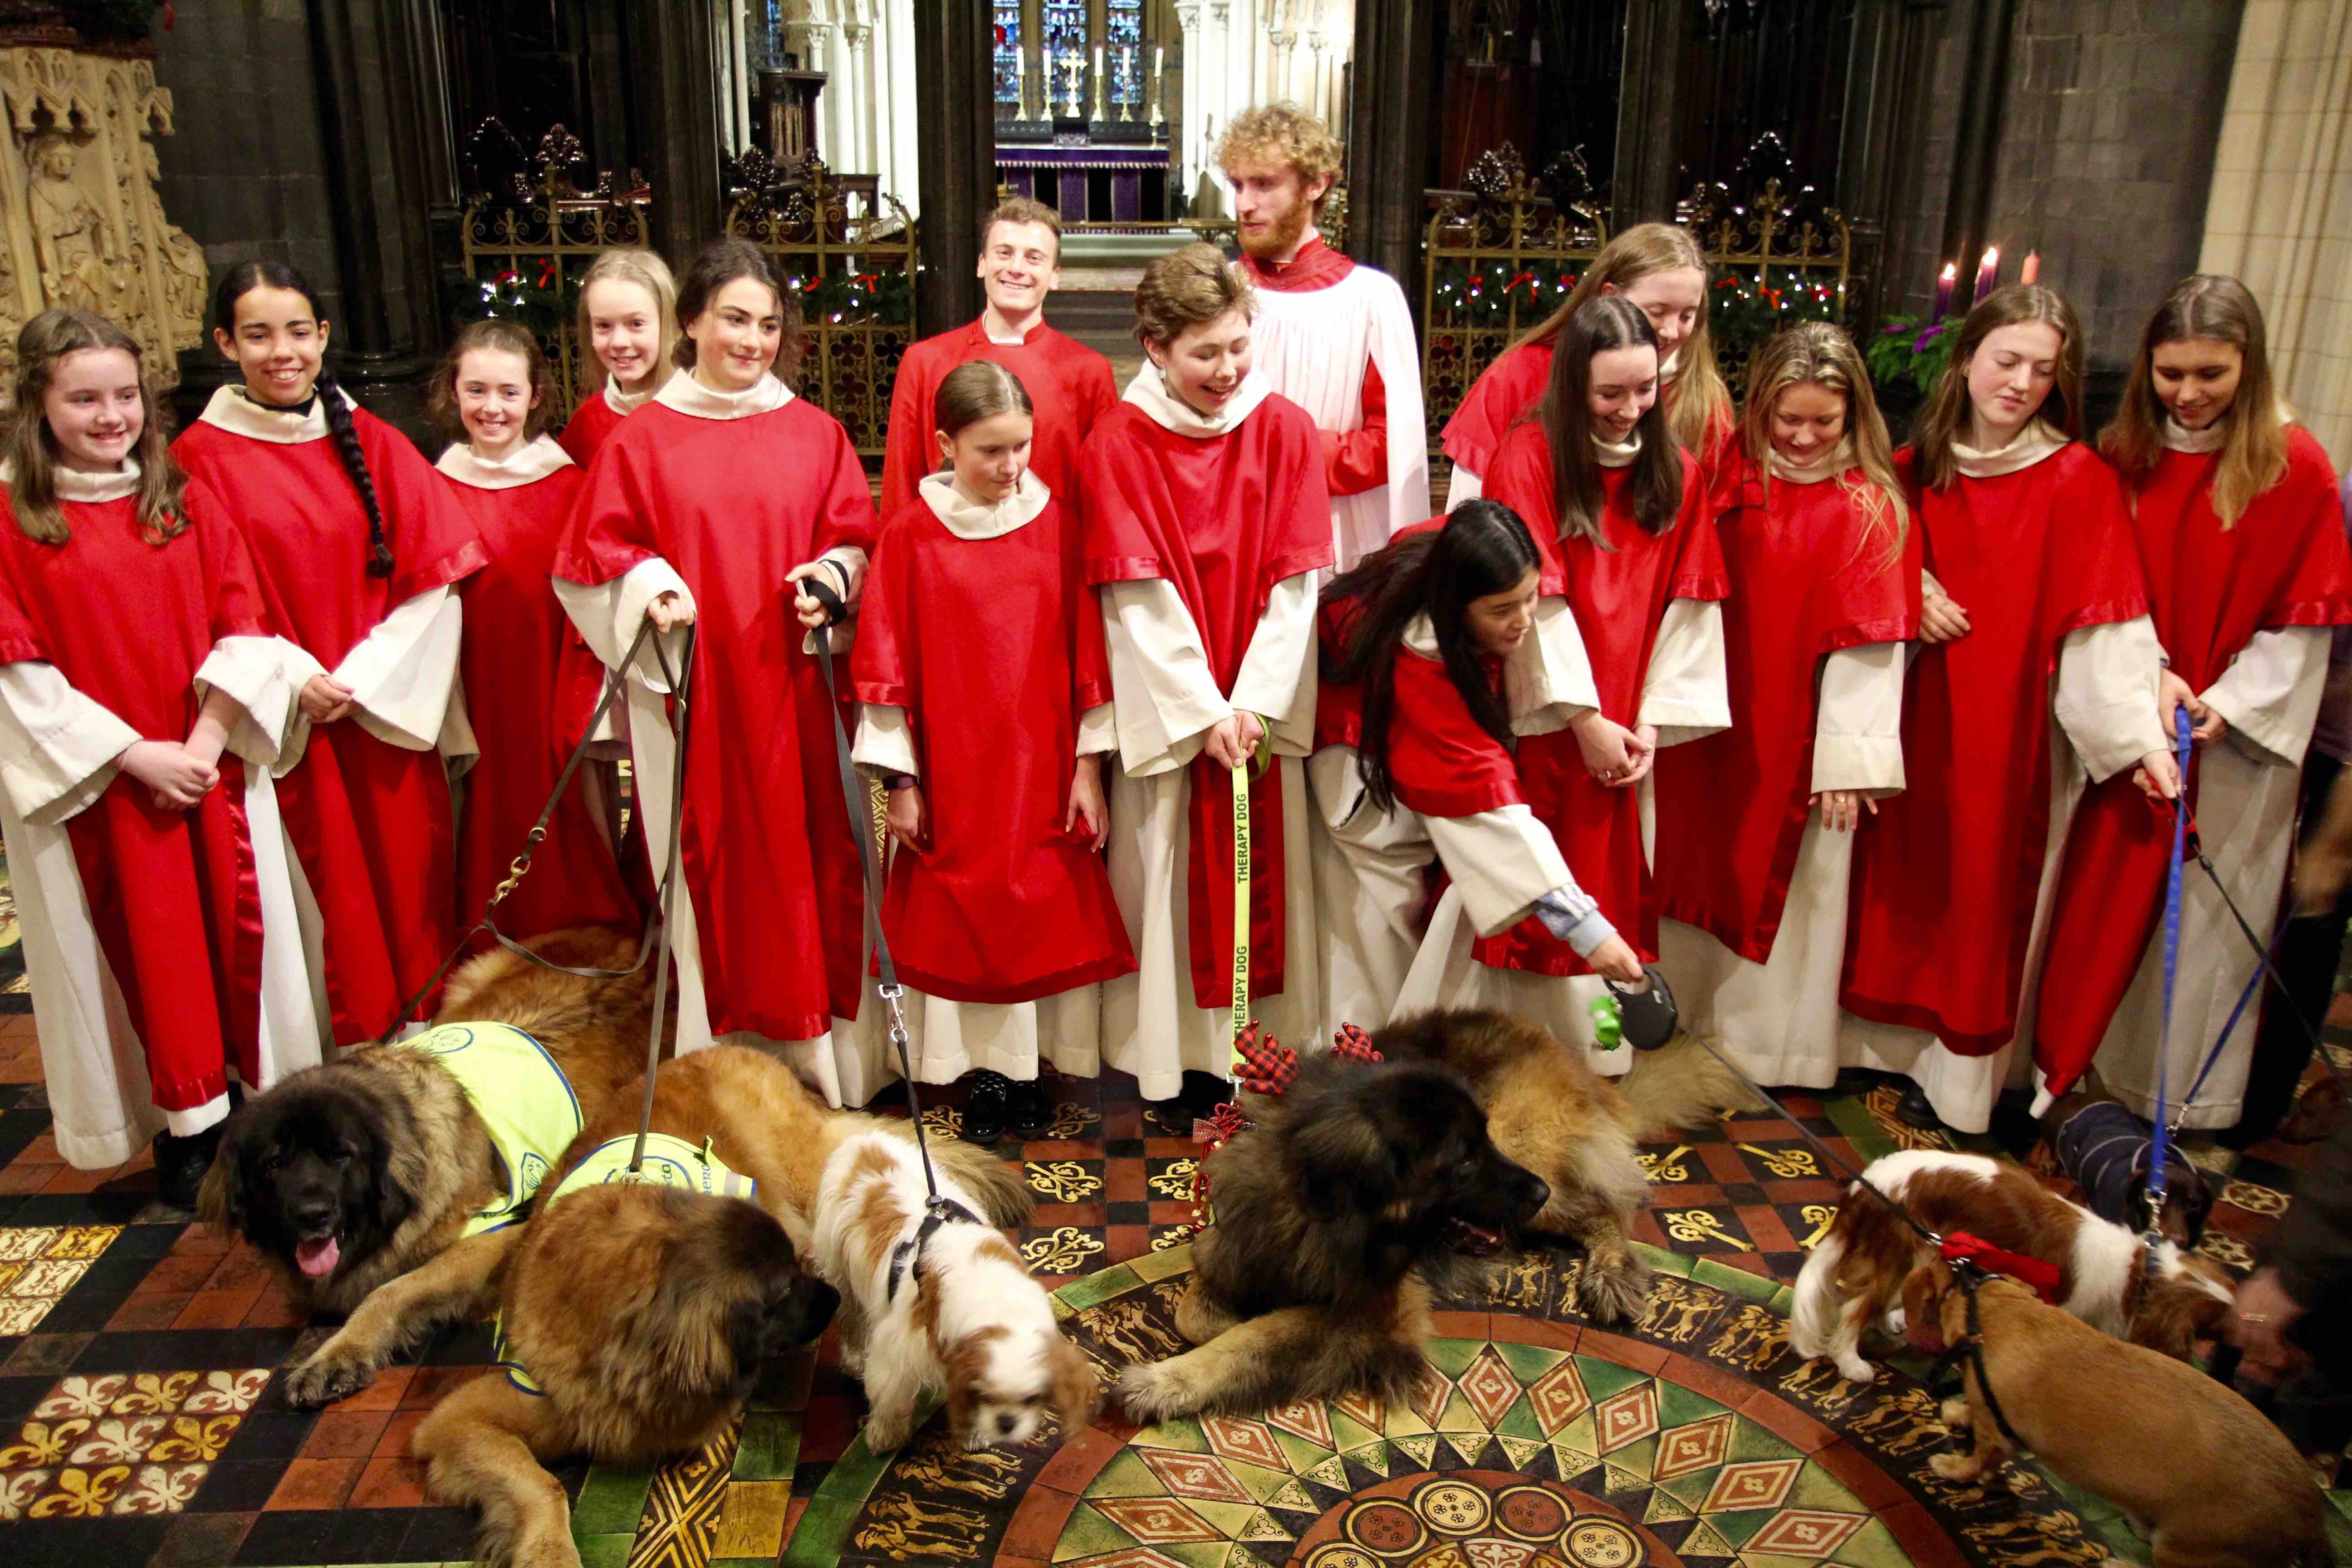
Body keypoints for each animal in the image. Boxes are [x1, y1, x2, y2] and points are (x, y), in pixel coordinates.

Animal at [200, 926, 663, 1401]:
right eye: (275, 1163)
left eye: (342, 1155)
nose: (313, 1215)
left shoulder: (495, 1235)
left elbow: (391, 1290)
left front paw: (338, 1352)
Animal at [813, 1128, 1096, 1448]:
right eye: (985, 1394)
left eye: (1032, 1399)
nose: (1006, 1423)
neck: (995, 1298)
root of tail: (865, 1140)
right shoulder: (896, 1351)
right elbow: (890, 1399)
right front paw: (884, 1436)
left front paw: (974, 1434)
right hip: (840, 1272)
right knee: (851, 1319)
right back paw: (854, 1360)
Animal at [1115, 1011, 1749, 1429]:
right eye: (1463, 1160)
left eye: (1477, 1147)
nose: (1536, 1190)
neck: (1315, 1216)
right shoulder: (1229, 1248)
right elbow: (1197, 1316)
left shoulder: (1377, 1310)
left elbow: (1259, 1338)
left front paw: (1167, 1382)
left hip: (1530, 1147)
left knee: (1606, 1210)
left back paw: (1611, 1272)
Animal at [1787, 1147, 2230, 1382]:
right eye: (2214, 1329)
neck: (2139, 1273)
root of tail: (1864, 1184)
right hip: (1898, 1250)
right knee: (1854, 1308)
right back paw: (1852, 1363)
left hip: (1920, 1251)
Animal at [1910, 1260, 2333, 1568]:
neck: (1996, 1310)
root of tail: (2311, 1511)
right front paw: (1957, 1411)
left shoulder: (1992, 1434)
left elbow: (1978, 1459)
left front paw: (1954, 1467)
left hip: (2186, 1551)